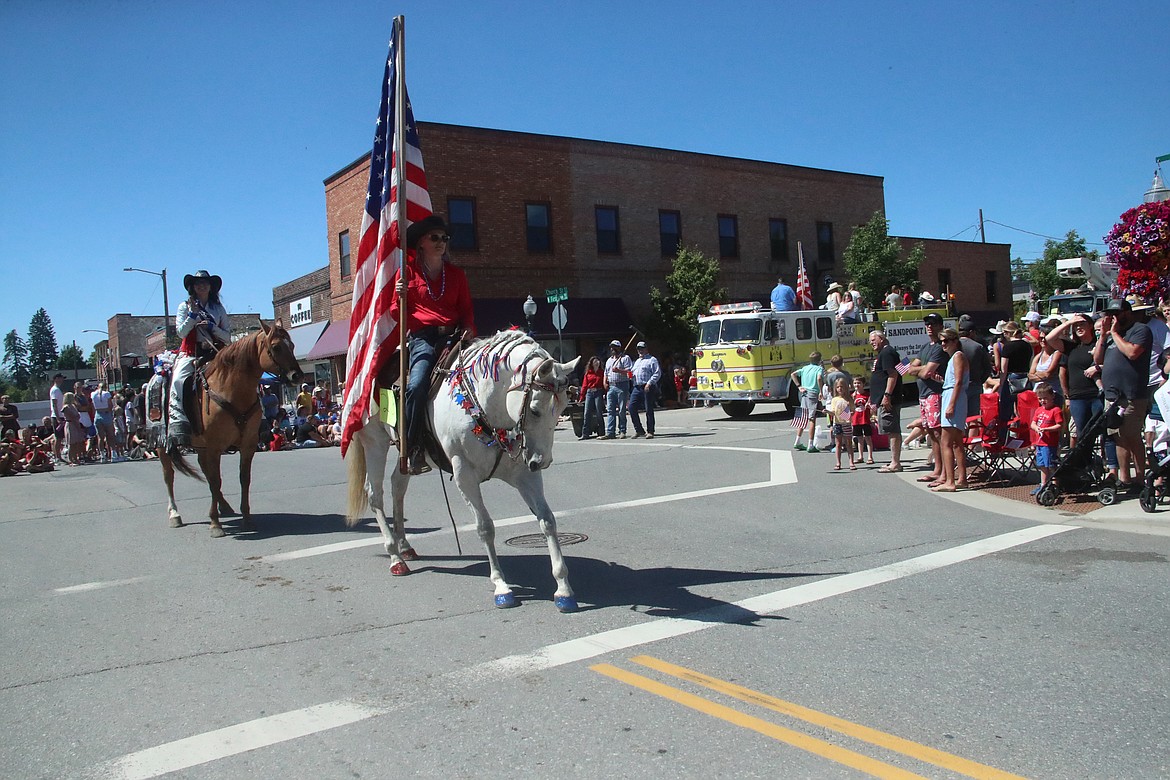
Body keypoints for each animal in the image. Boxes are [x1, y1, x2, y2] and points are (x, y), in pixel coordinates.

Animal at [160, 318, 306, 537]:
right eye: (276, 347)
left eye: (293, 345)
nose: (297, 376)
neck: (232, 391)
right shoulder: (215, 446)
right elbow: (215, 480)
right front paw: (215, 524)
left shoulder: (247, 445)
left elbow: (243, 479)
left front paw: (246, 518)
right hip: (163, 444)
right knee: (169, 476)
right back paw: (174, 515)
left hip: (201, 446)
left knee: (203, 470)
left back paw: (225, 506)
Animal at [346, 332, 585, 612]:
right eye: (535, 410)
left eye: (564, 408)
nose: (542, 462)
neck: (488, 406)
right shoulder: (465, 475)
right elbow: (485, 528)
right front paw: (501, 587)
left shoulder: (525, 476)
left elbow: (547, 521)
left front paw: (563, 589)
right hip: (375, 442)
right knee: (375, 494)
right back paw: (395, 557)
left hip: (406, 454)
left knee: (397, 485)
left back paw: (405, 547)